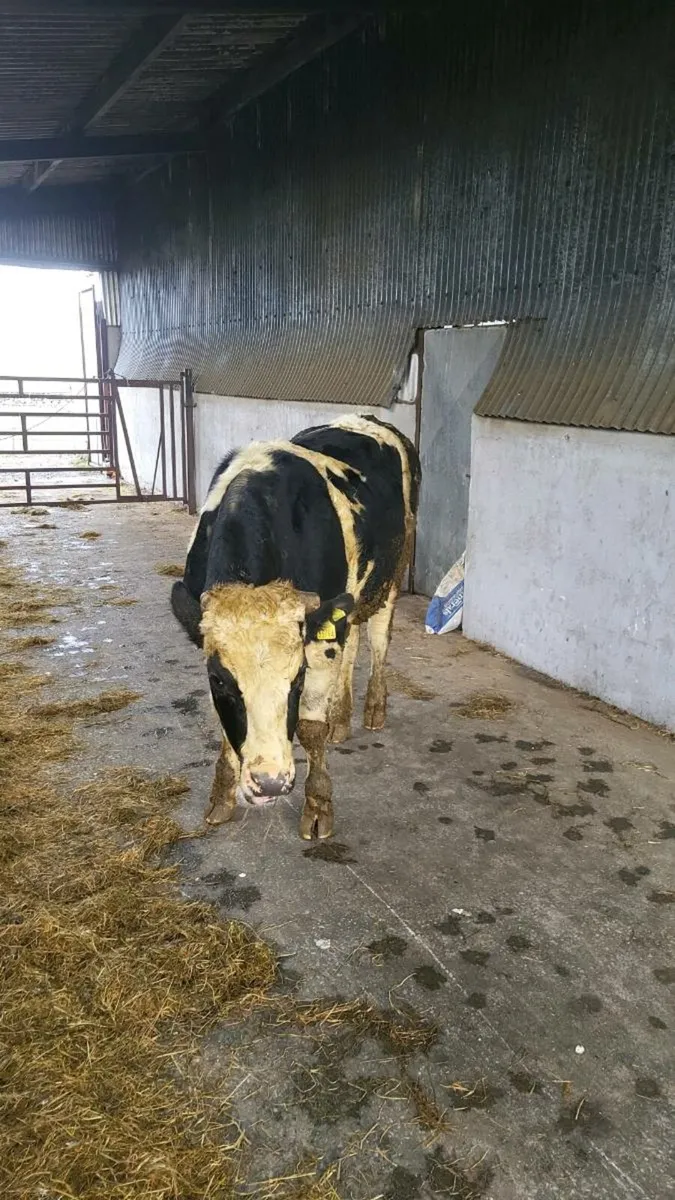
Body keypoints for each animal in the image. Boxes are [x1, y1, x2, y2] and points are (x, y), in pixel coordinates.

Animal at [171, 414, 421, 840]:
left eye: (298, 677)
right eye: (219, 680)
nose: (270, 783)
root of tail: (370, 419)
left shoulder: (316, 647)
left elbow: (309, 727)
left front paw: (318, 805)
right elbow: (224, 728)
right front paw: (222, 795)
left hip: (391, 573)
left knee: (378, 640)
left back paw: (373, 708)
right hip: (346, 603)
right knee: (352, 642)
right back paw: (341, 717)